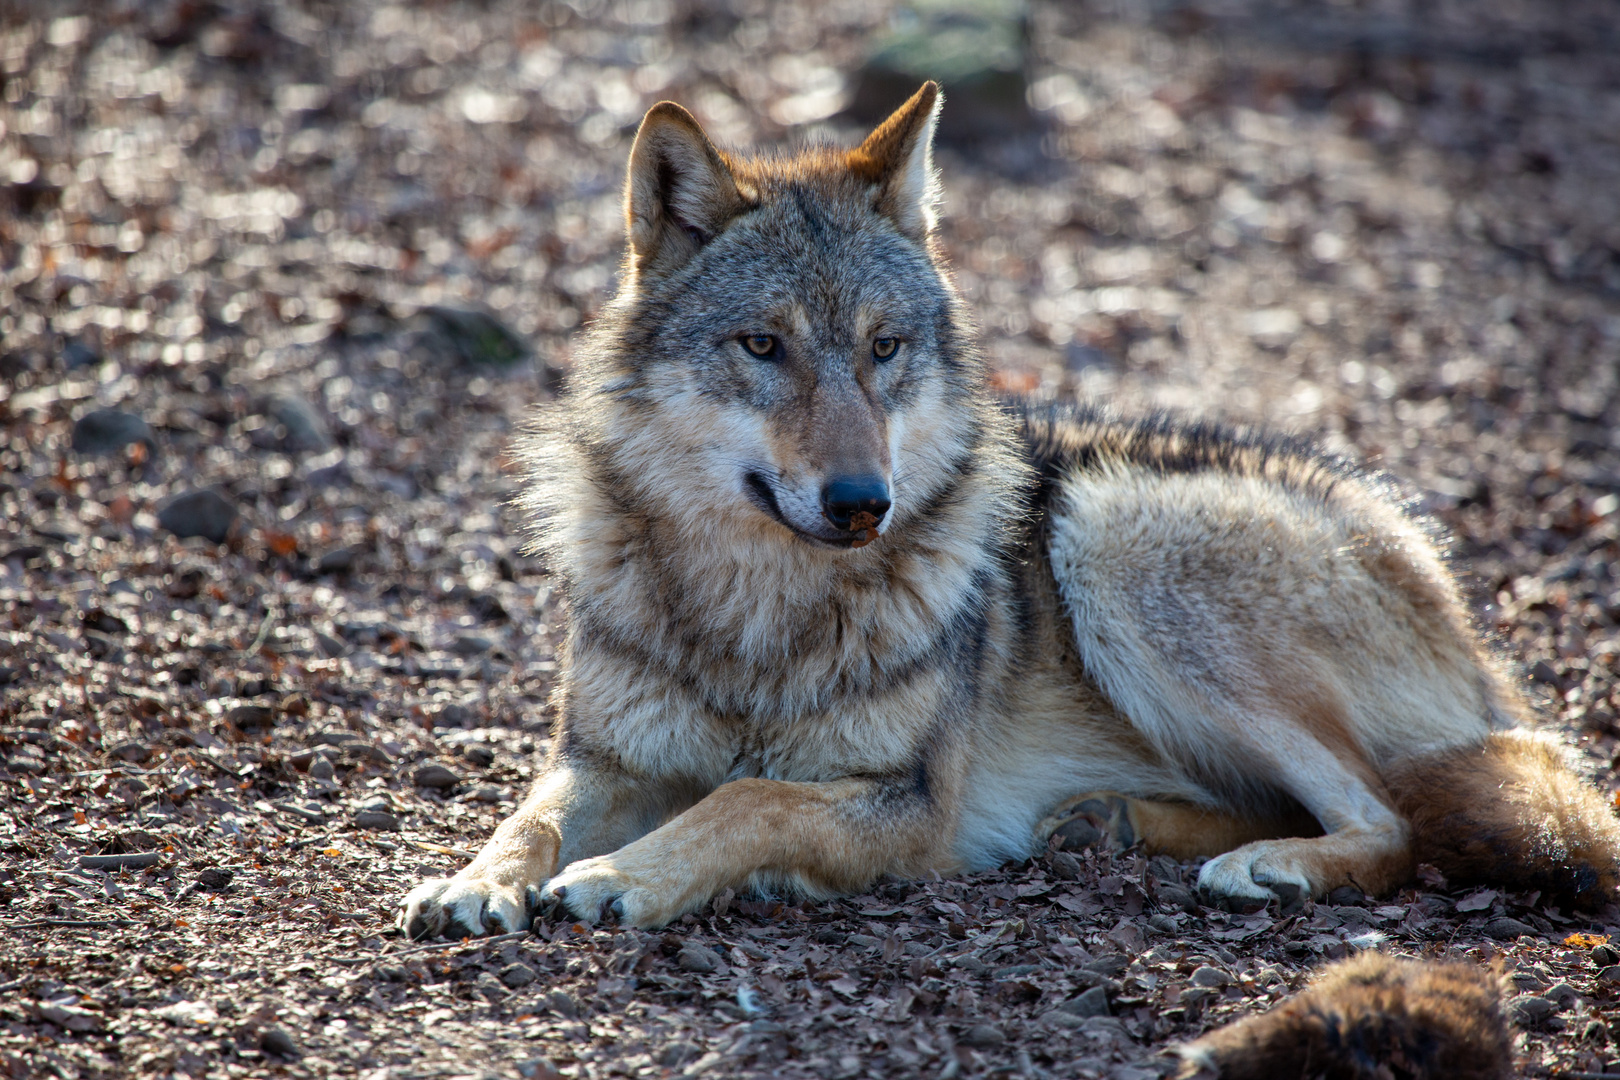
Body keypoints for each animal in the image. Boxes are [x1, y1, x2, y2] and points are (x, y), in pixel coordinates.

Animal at [395, 80, 1620, 939]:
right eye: (764, 346)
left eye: (884, 348)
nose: (863, 503)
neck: (757, 614)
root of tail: (1461, 612)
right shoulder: (604, 759)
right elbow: (529, 813)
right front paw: (473, 882)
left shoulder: (908, 800)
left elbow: (747, 800)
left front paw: (618, 878)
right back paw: (1109, 822)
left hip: (1112, 537)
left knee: (1390, 824)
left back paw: (1258, 865)